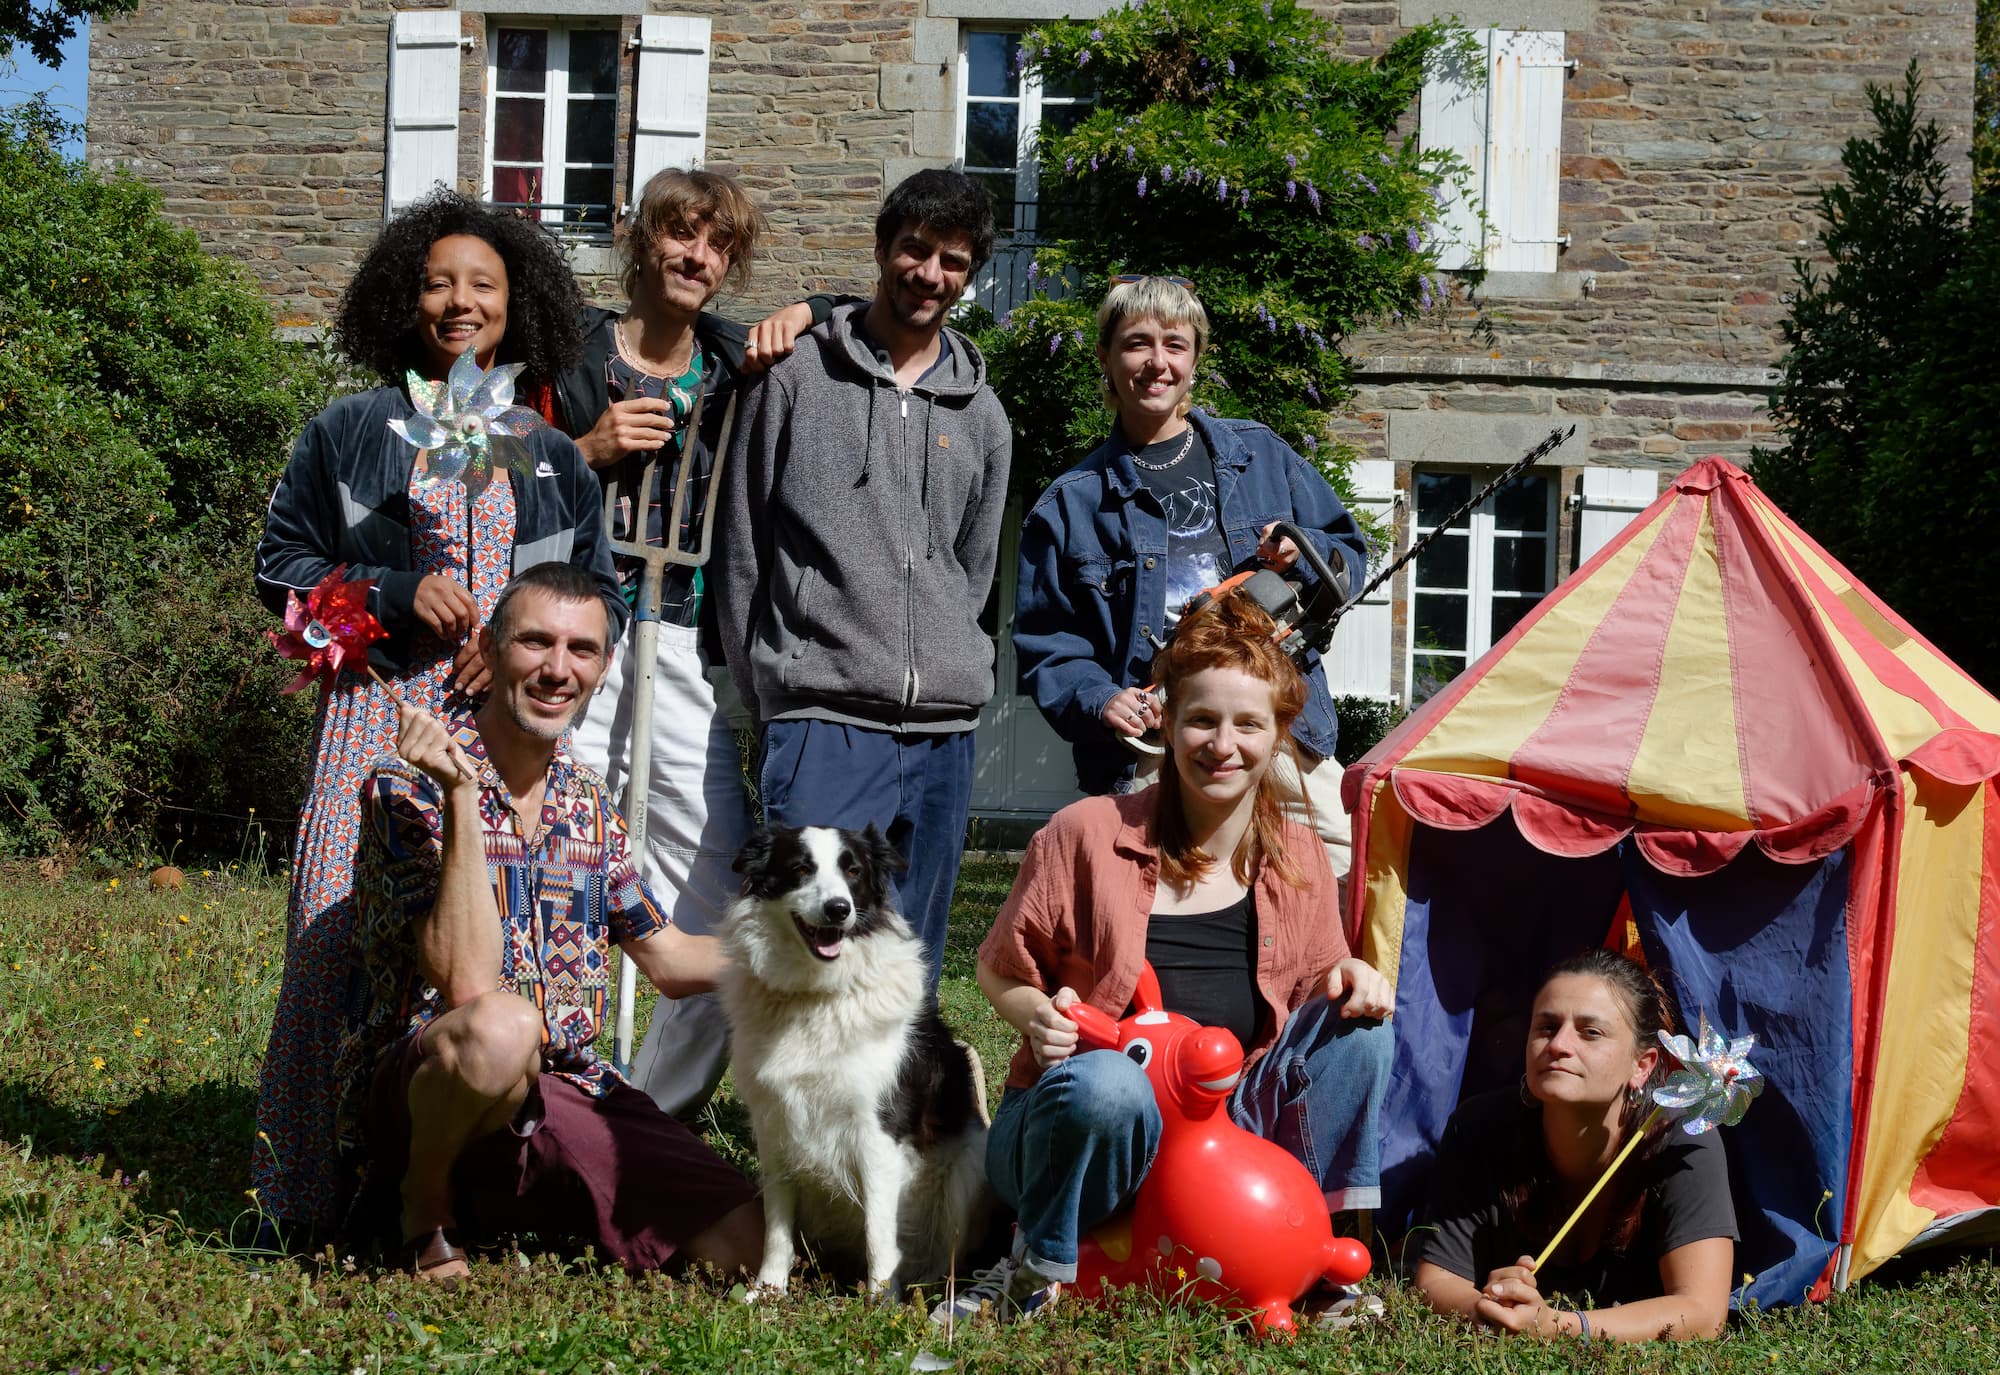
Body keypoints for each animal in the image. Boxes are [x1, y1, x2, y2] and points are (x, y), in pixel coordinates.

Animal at [724, 827, 996, 1303]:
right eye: (800, 868)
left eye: (853, 871)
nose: (839, 909)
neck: (816, 996)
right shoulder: (774, 1125)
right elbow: (776, 1228)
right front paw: (767, 1293)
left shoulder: (877, 1134)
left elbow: (879, 1231)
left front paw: (880, 1304)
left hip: (972, 1164)